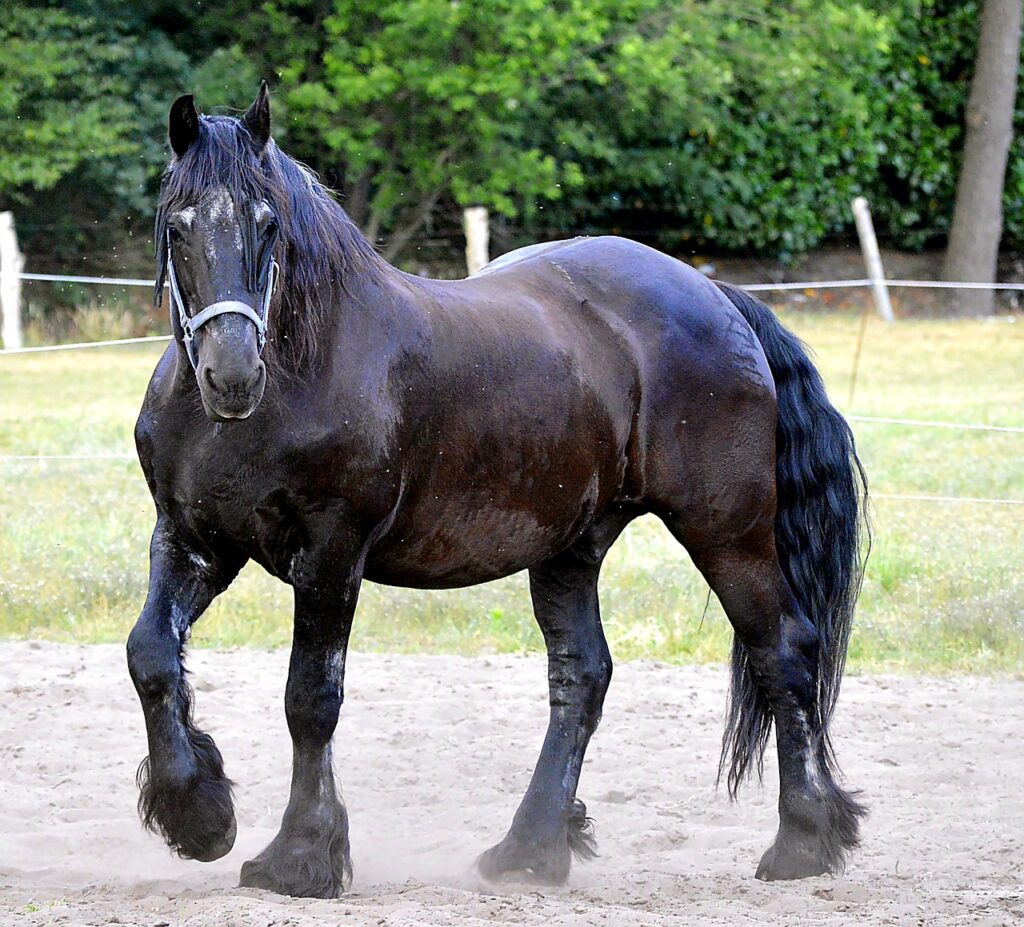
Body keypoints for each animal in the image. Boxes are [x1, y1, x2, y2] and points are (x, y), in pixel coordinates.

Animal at [126, 83, 868, 899]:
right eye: (177, 224)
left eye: (268, 223)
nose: (232, 374)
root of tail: (715, 293)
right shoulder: (194, 541)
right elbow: (150, 653)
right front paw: (198, 816)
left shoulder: (330, 554)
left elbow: (310, 698)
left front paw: (300, 856)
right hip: (574, 543)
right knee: (582, 675)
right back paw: (531, 847)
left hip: (727, 530)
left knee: (783, 651)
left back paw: (801, 843)